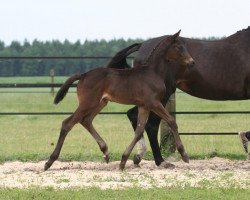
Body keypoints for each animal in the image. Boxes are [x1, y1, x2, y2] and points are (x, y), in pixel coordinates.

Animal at [44, 30, 193, 170]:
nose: (191, 62)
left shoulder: (144, 106)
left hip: (100, 103)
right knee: (67, 123)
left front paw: (123, 160)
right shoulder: (154, 103)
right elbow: (172, 121)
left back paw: (105, 152)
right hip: (87, 103)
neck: (153, 72)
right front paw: (184, 155)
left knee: (86, 120)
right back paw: (49, 161)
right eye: (179, 47)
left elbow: (139, 130)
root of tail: (83, 75)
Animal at [106, 27, 250, 167]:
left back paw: (139, 157)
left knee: (135, 116)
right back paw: (160, 161)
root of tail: (142, 45)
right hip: (159, 97)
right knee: (151, 124)